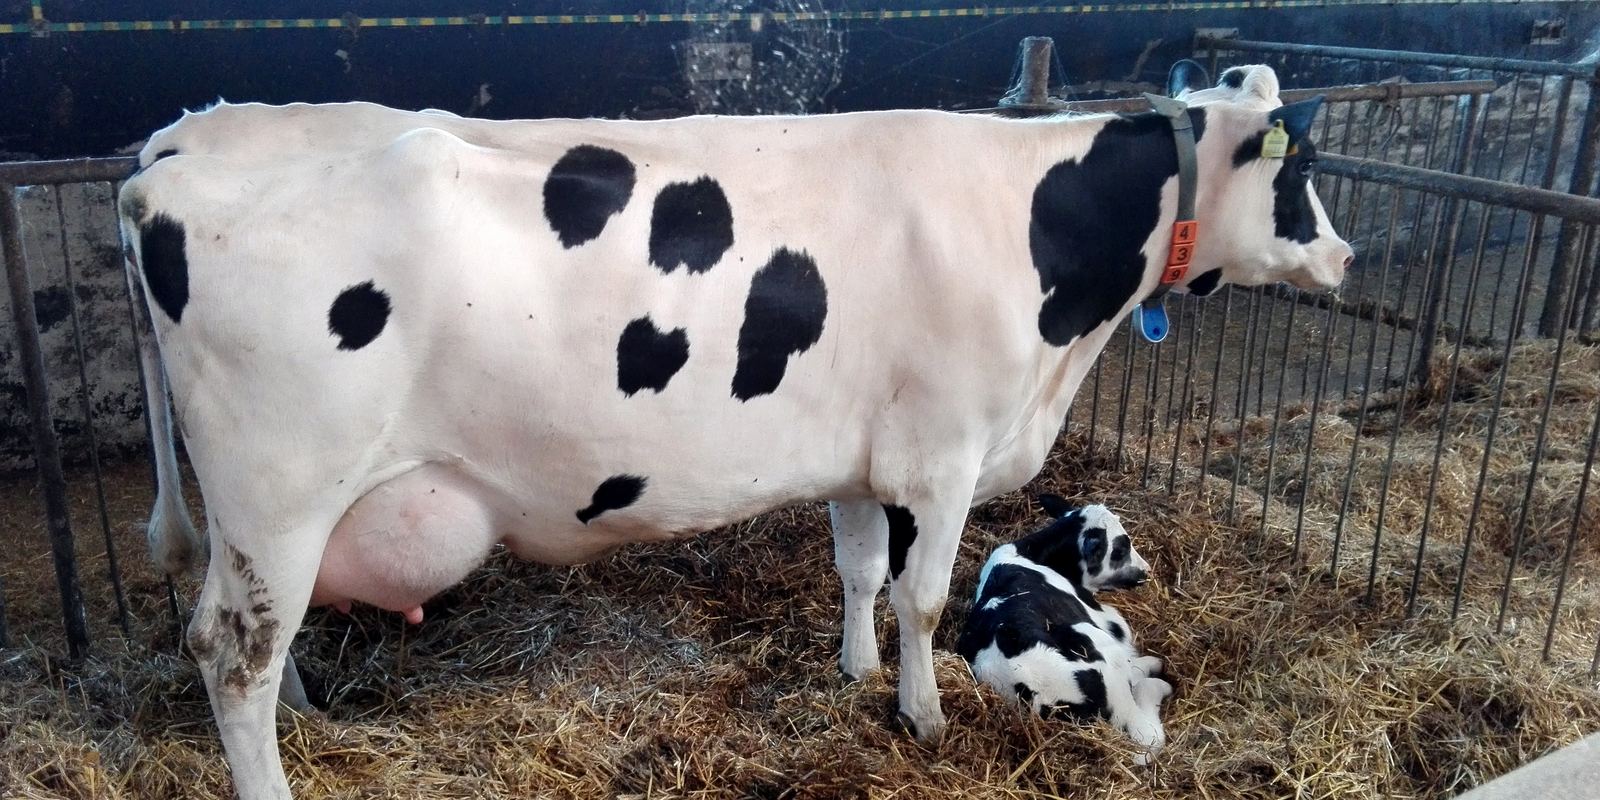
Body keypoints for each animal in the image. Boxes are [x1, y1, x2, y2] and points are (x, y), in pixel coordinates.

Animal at [957, 497, 1170, 765]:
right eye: (1120, 548)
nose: (1146, 570)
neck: (1030, 554)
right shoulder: (1106, 619)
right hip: (1095, 643)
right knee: (1145, 731)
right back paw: (1157, 677)